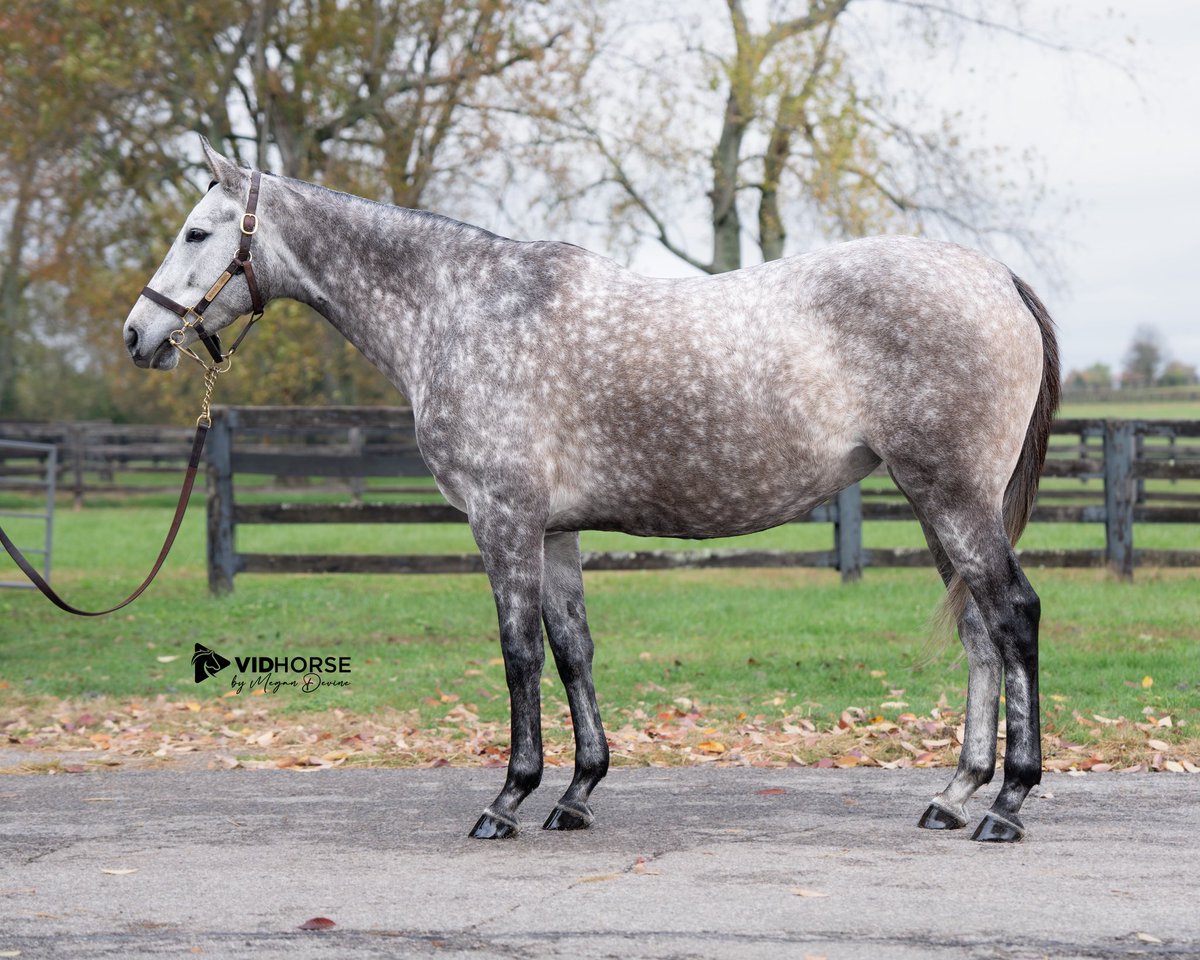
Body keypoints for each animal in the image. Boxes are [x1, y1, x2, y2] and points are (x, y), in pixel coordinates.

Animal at [123, 137, 1059, 844]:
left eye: (198, 232)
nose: (139, 335)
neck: (464, 308)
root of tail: (995, 277)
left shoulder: (503, 522)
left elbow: (518, 655)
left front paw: (508, 799)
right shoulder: (555, 531)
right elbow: (573, 649)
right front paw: (577, 794)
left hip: (952, 496)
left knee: (1012, 615)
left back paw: (1008, 803)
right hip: (938, 502)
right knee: (978, 630)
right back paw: (954, 794)